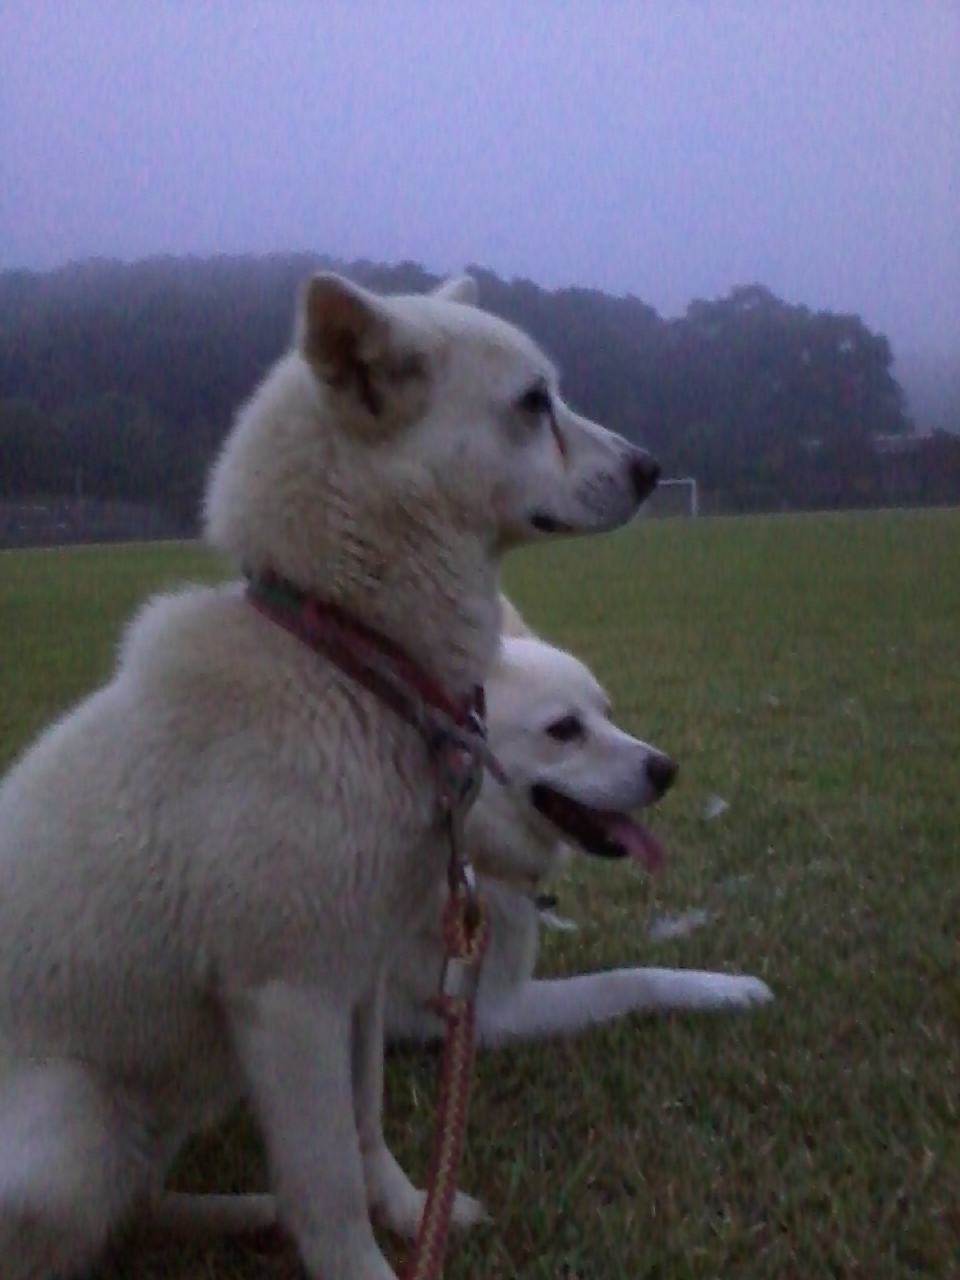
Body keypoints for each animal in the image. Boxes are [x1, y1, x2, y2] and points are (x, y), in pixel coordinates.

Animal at [386, 593, 773, 1044]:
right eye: (564, 728)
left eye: (607, 712)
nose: (667, 770)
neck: (478, 851)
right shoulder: (489, 1012)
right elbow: (628, 980)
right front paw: (728, 990)